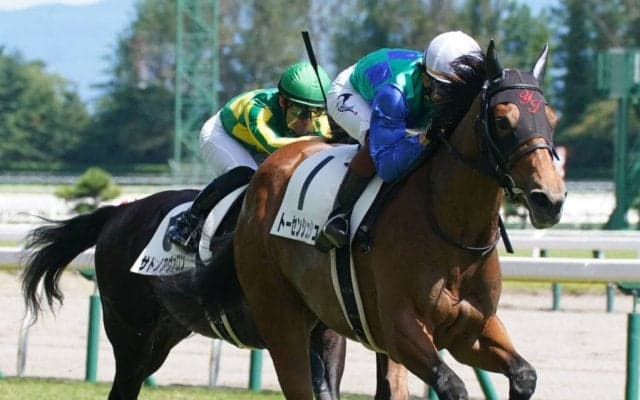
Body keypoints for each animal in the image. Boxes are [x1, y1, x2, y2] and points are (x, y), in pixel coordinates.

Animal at [231, 40, 566, 400]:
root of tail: (267, 169)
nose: (549, 199)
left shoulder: (472, 330)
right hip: (281, 319)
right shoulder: (400, 330)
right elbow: (451, 384)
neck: (454, 233)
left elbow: (524, 374)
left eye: (551, 118)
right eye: (503, 120)